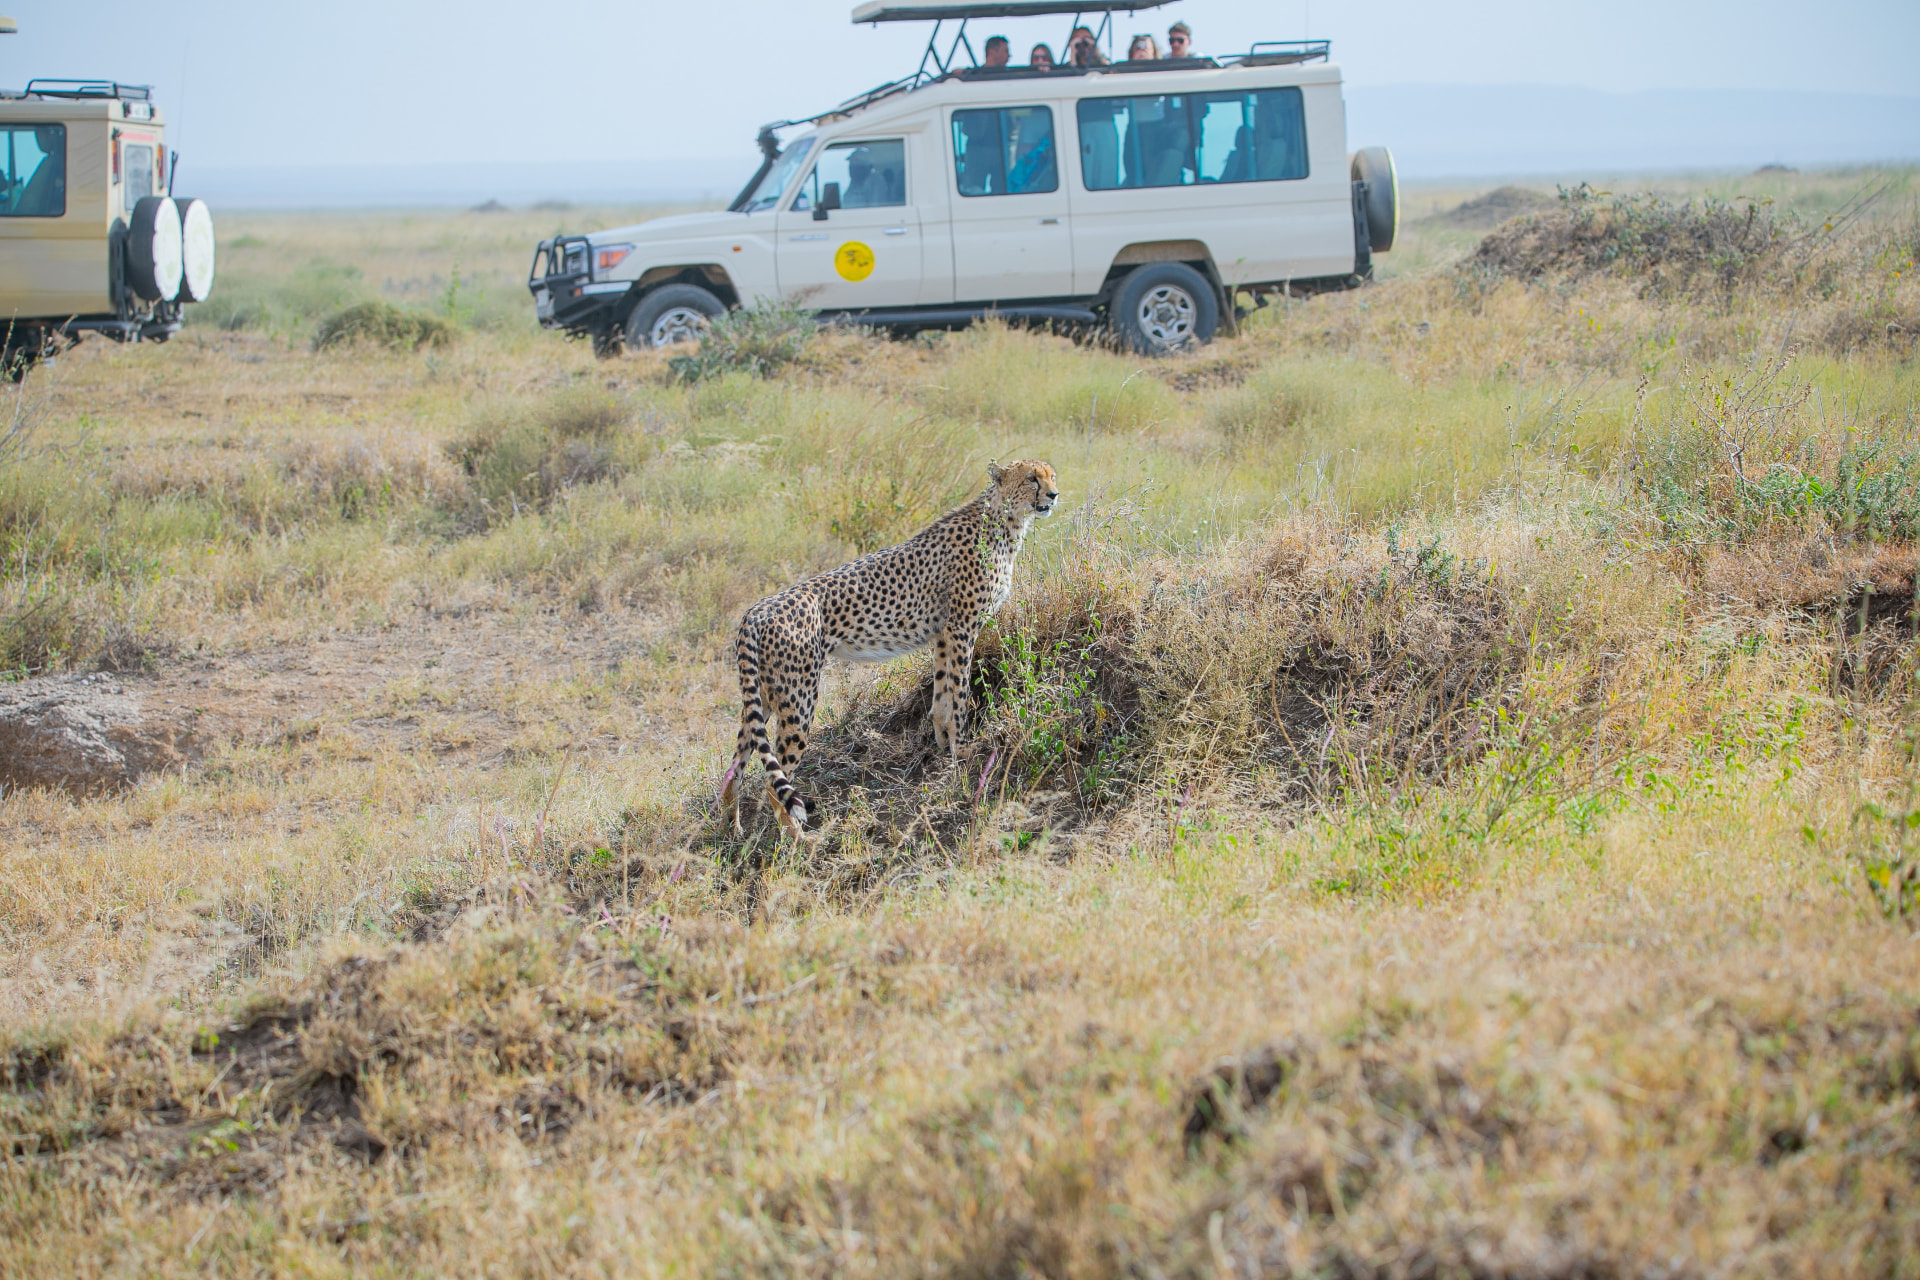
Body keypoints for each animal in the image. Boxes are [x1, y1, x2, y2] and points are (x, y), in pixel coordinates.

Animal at [720, 459, 1059, 838]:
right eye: (1031, 478)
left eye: (1051, 475)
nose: (1054, 494)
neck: (1004, 519)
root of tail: (756, 609)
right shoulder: (961, 629)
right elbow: (959, 694)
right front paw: (964, 749)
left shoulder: (943, 635)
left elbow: (942, 695)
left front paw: (943, 746)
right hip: (798, 698)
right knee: (774, 781)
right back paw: (798, 841)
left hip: (763, 696)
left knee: (735, 765)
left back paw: (732, 831)